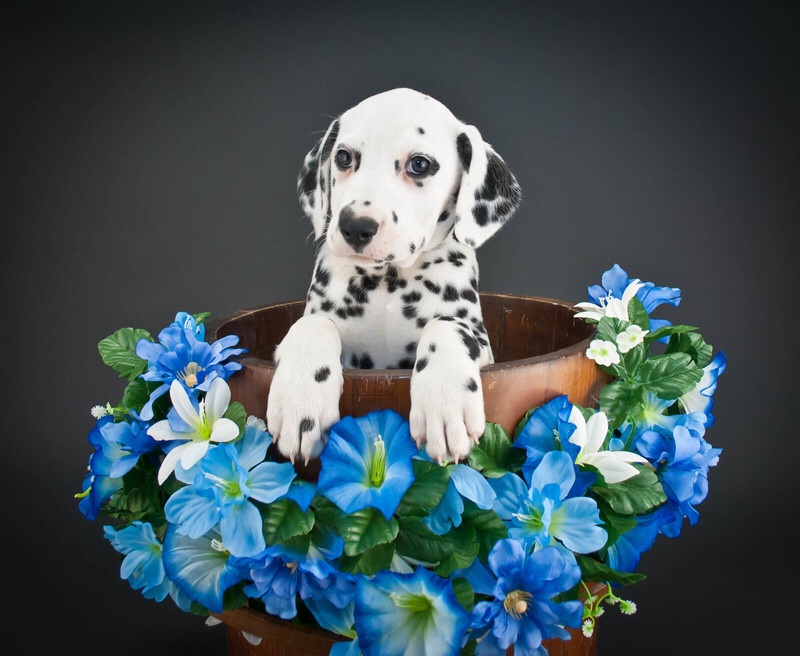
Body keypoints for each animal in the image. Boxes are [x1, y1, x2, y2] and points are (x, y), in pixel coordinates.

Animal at [266, 87, 520, 464]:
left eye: (420, 164)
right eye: (344, 158)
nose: (355, 226)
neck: (388, 279)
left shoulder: (481, 343)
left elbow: (445, 327)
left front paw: (445, 403)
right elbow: (313, 324)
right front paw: (300, 401)